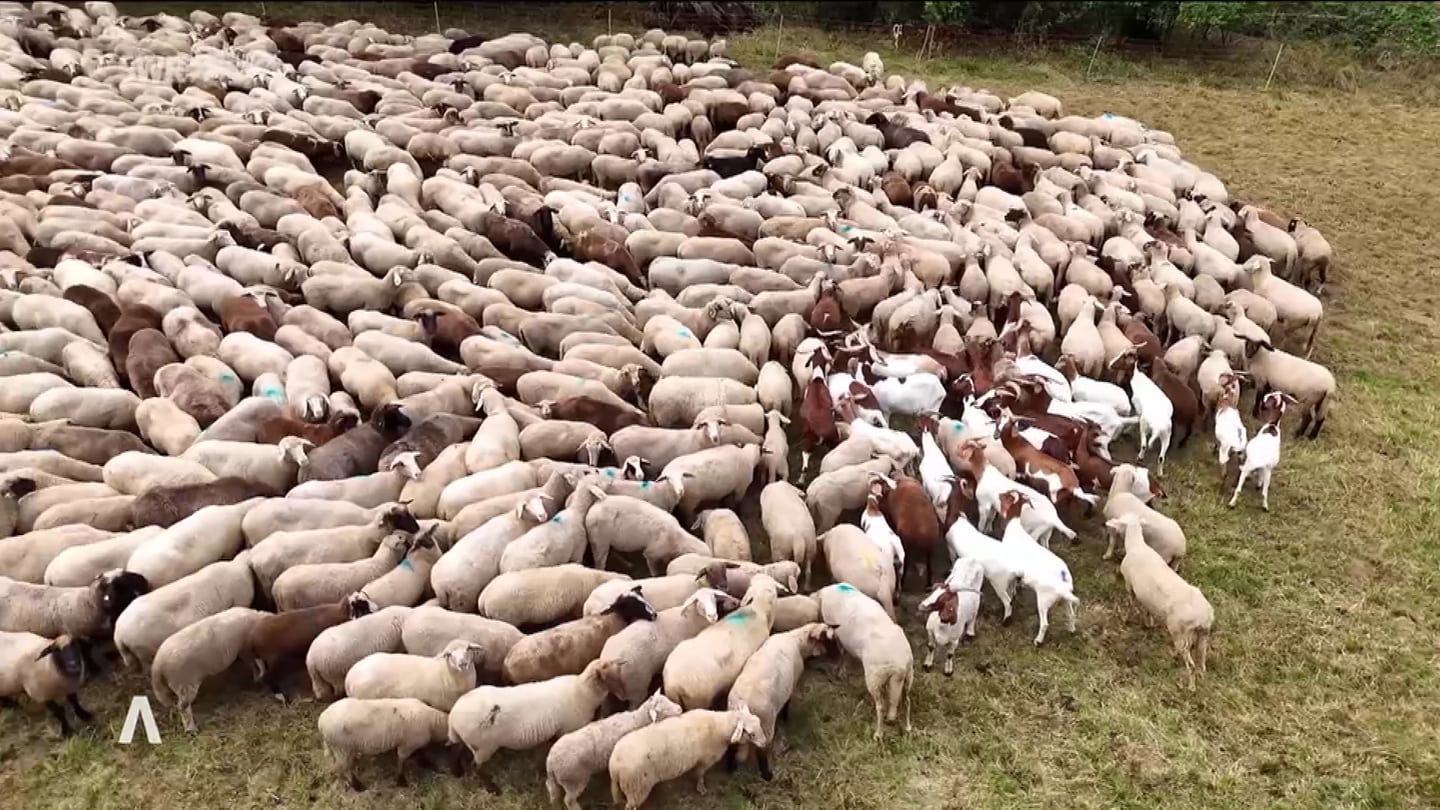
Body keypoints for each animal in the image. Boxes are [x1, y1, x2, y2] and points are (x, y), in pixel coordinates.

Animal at [318, 694, 452, 789]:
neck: (433, 723)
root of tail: (321, 721)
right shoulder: (407, 745)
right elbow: (401, 760)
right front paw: (401, 779)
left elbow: (420, 752)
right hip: (343, 748)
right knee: (344, 767)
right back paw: (357, 786)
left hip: (336, 747)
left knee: (337, 765)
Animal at [547, 686, 688, 807]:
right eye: (660, 710)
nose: (680, 709)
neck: (637, 720)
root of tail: (550, 762)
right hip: (573, 779)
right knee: (569, 800)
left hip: (560, 780)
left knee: (551, 789)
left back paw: (554, 803)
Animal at [604, 703, 766, 801]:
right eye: (751, 734)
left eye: (759, 721)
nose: (765, 743)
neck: (719, 726)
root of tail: (614, 766)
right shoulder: (705, 760)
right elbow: (700, 775)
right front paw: (701, 788)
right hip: (637, 787)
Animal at [1105, 513, 1209, 683]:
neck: (1137, 545)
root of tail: (1203, 617)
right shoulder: (1146, 597)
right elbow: (1148, 610)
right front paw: (1149, 623)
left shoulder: (1129, 585)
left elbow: (1129, 604)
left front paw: (1125, 619)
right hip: (1202, 636)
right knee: (1202, 658)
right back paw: (1198, 671)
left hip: (1179, 630)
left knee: (1190, 664)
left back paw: (1189, 683)